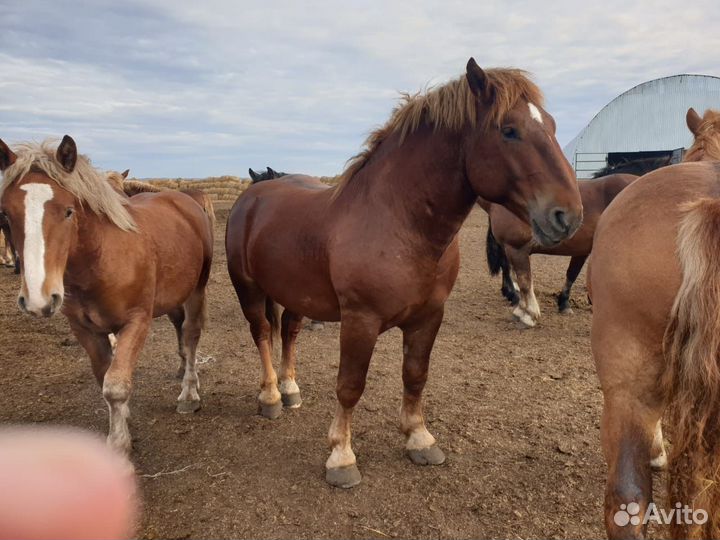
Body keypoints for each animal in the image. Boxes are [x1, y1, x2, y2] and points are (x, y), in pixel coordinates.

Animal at [0, 136, 214, 455]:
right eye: (5, 213)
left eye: (68, 211)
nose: (38, 299)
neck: (102, 259)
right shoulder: (85, 330)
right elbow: (106, 377)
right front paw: (122, 420)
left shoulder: (136, 323)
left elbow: (115, 386)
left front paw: (119, 444)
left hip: (196, 290)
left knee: (190, 334)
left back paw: (189, 393)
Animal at [226, 58, 583, 488]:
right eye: (509, 130)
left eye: (552, 125)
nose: (568, 216)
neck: (397, 222)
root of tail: (252, 197)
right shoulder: (360, 320)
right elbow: (350, 386)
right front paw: (341, 457)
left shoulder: (428, 317)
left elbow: (415, 375)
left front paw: (419, 438)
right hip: (248, 289)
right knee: (262, 333)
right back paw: (271, 396)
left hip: (294, 294)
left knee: (289, 333)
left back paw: (291, 388)